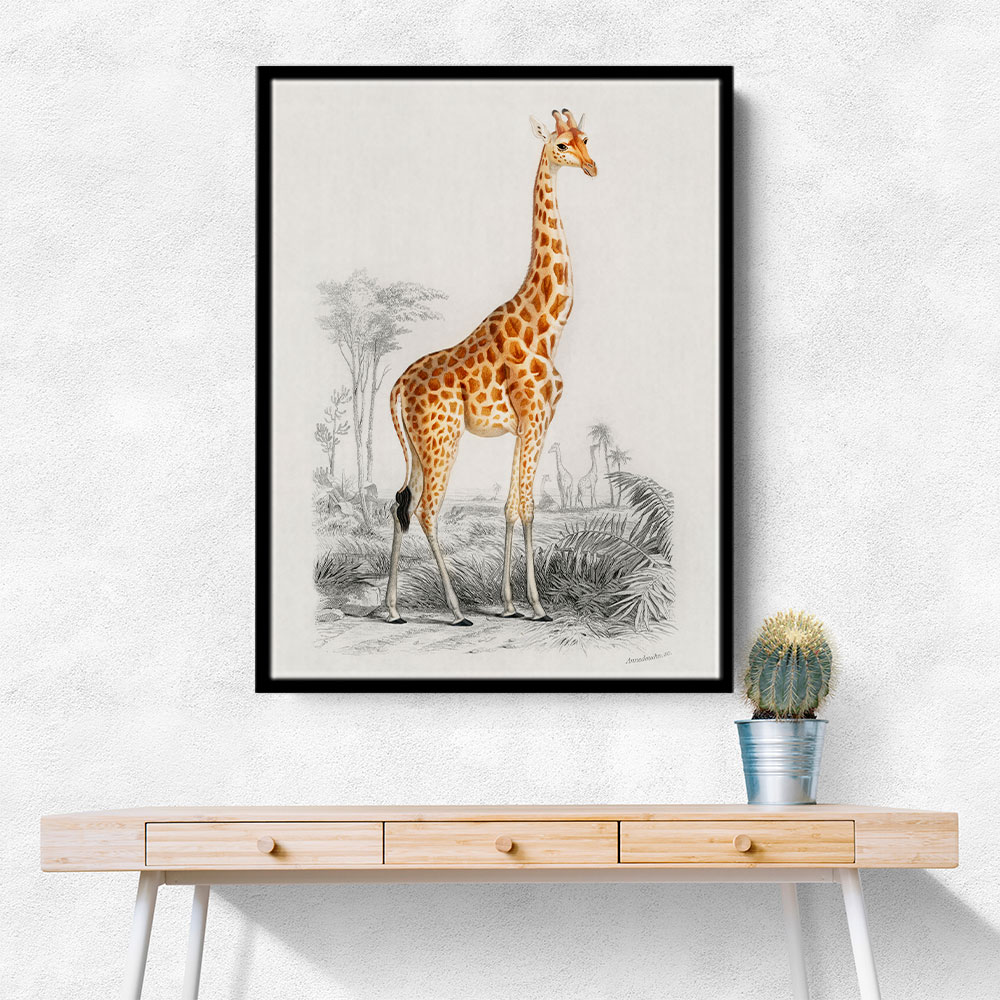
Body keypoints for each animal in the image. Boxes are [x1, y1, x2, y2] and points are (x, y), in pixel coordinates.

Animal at [385, 108, 597, 625]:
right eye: (560, 145)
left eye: (586, 138)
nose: (591, 166)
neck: (548, 326)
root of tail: (396, 388)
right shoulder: (535, 418)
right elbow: (527, 507)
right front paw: (536, 606)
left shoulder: (528, 425)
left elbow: (511, 505)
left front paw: (510, 604)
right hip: (442, 440)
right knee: (426, 511)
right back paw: (457, 610)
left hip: (418, 447)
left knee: (400, 503)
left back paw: (393, 610)